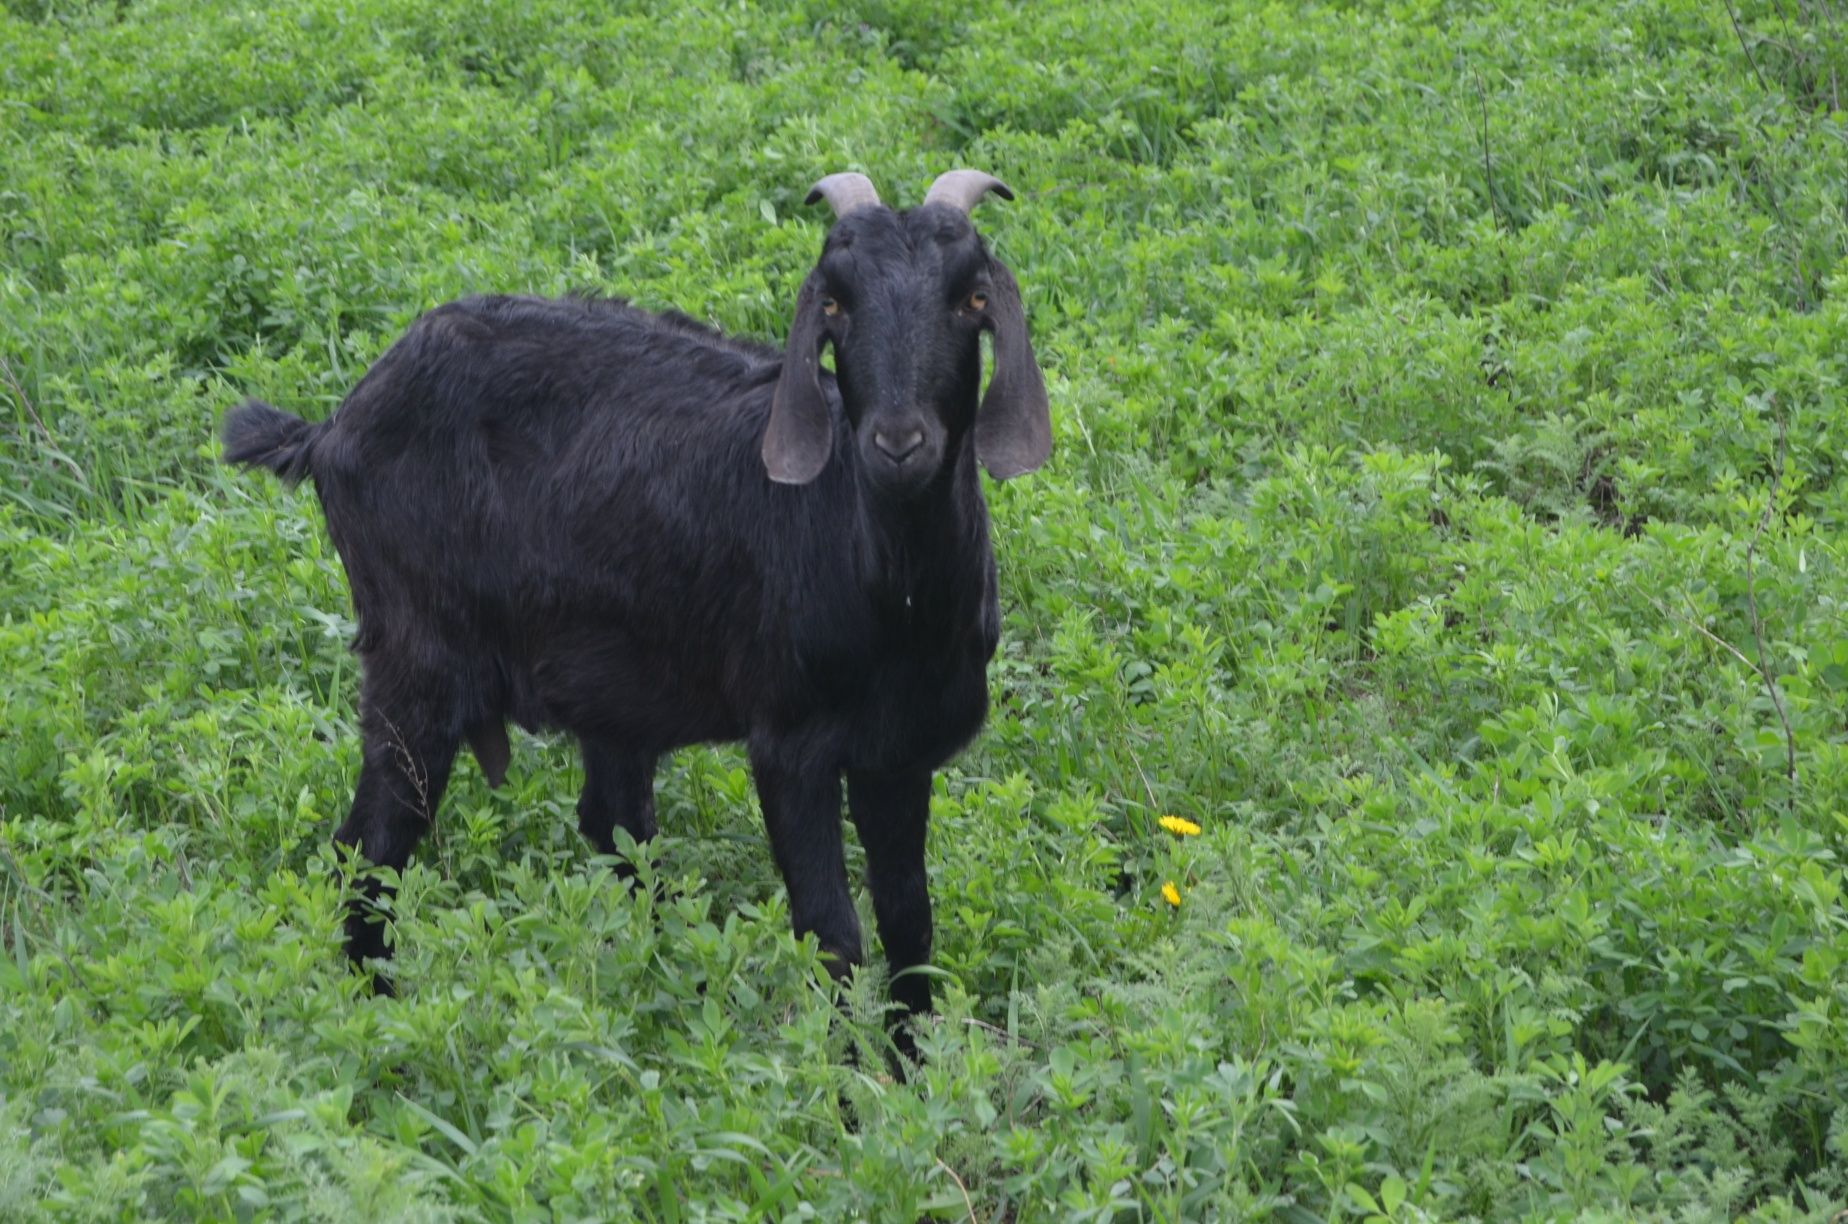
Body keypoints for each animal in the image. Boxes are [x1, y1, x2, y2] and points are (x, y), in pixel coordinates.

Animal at [216, 168, 1049, 1042]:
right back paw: (378, 1028)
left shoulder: (900, 752)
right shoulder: (790, 746)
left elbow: (909, 927)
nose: (897, 442)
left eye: (971, 299)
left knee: (612, 824)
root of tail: (330, 428)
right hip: (415, 658)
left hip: (606, 684)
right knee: (368, 848)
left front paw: (911, 1066)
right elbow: (832, 934)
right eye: (834, 303)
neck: (891, 597)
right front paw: (843, 1078)